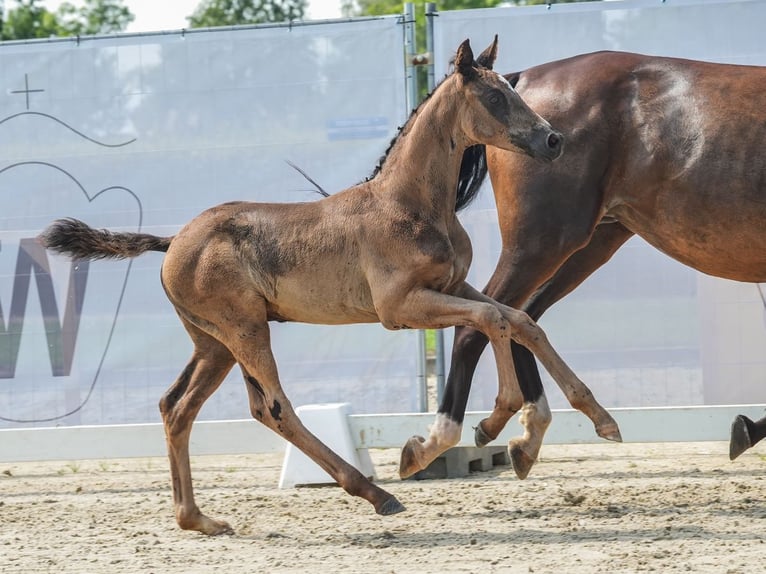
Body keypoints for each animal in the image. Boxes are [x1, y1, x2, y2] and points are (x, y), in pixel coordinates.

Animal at [40, 38, 608, 536]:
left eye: (513, 89)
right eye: (494, 96)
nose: (553, 140)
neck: (409, 203)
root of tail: (173, 241)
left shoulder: (455, 285)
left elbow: (519, 319)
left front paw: (593, 419)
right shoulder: (401, 308)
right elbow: (493, 320)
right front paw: (493, 423)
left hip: (214, 343)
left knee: (177, 407)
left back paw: (198, 519)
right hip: (245, 330)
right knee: (273, 408)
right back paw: (377, 494)